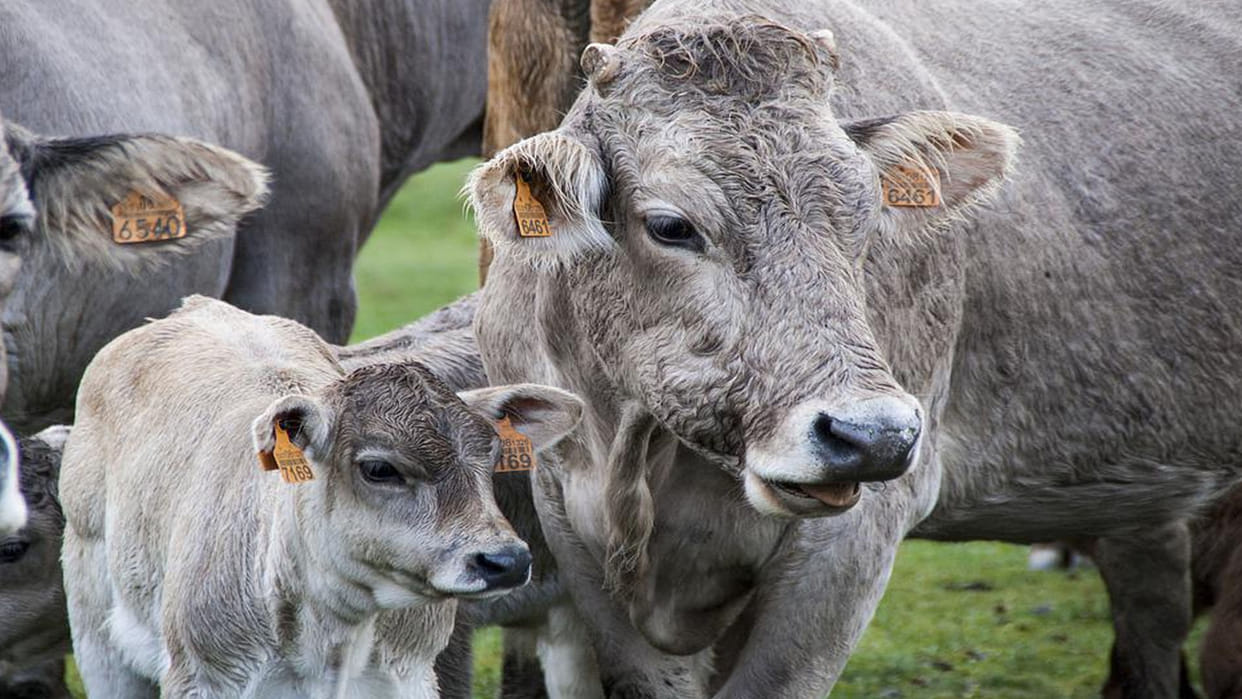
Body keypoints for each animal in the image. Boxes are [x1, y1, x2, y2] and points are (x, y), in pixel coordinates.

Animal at [60, 296, 583, 697]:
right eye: (379, 468)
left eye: (490, 457)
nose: (506, 561)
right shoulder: (204, 676)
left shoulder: (410, 674)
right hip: (95, 630)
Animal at [468, 1, 1242, 697]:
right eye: (670, 225)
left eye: (868, 215)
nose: (873, 435)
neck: (636, 453)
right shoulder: (568, 520)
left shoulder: (855, 540)